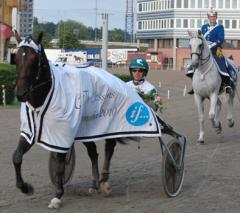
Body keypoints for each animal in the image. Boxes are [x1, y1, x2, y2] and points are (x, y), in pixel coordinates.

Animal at [12, 31, 117, 208]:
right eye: (17, 57)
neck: (42, 97)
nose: (21, 93)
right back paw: (94, 184)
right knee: (93, 153)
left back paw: (104, 181)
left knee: (109, 146)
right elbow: (17, 157)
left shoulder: (61, 132)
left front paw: (58, 195)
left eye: (34, 59)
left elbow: (60, 165)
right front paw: (25, 187)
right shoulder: (29, 131)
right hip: (85, 130)